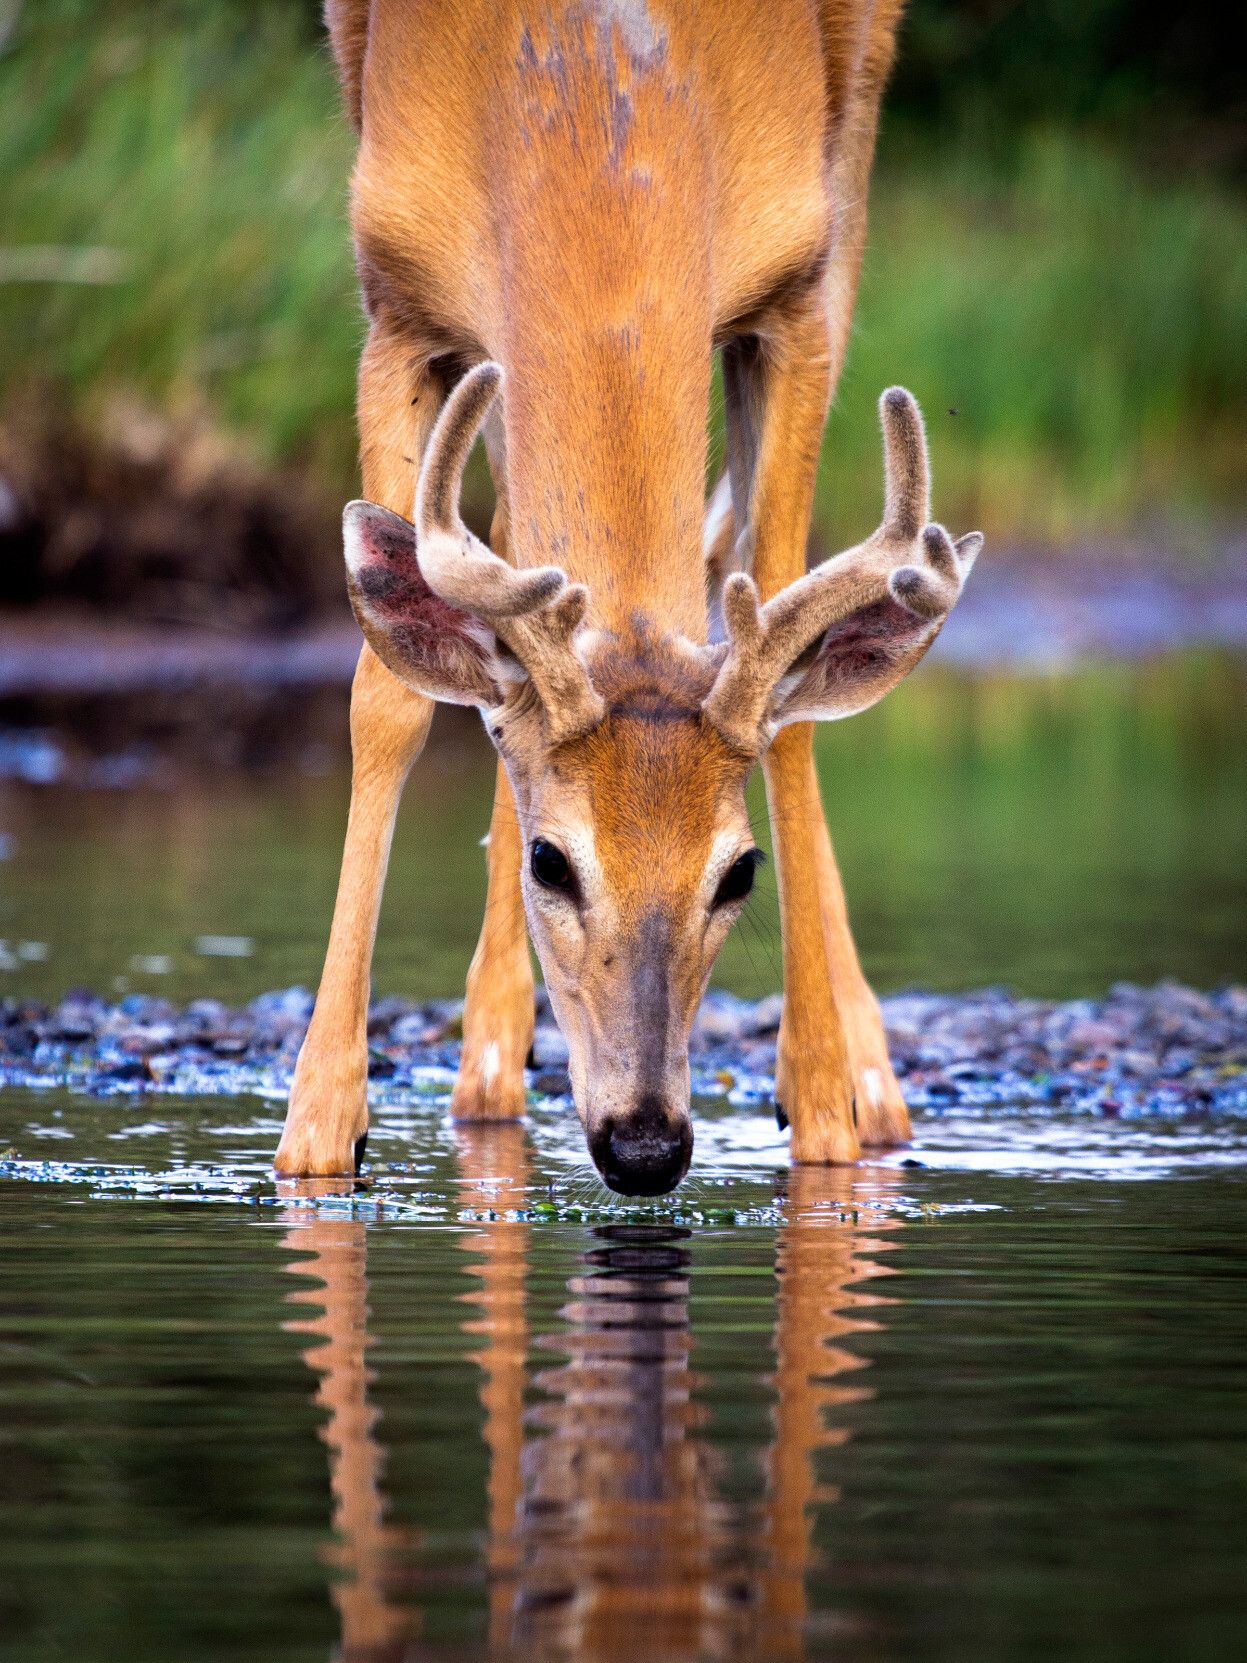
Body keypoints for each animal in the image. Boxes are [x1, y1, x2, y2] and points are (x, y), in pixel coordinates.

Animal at [275, 0, 981, 1193]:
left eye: (738, 873)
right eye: (548, 861)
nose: (645, 1141)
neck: (595, 86)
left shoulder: (795, 285)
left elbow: (786, 688)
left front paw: (825, 1104)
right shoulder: (394, 289)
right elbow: (391, 697)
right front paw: (319, 1127)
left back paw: (871, 1081)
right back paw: (487, 1066)